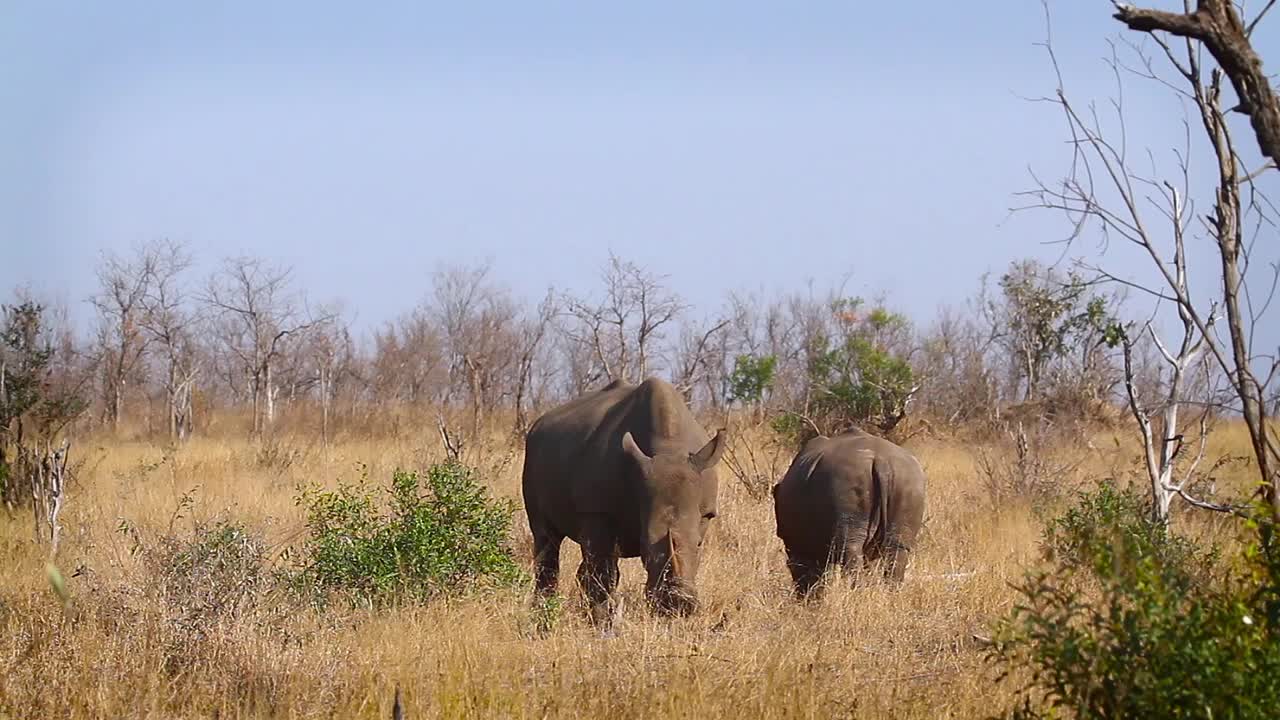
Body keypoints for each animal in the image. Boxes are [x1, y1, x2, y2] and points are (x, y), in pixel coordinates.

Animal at [517, 376, 721, 617]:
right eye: (644, 545)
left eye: (699, 544)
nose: (677, 605)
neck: (668, 448)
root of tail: (538, 423)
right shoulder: (597, 511)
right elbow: (603, 574)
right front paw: (602, 620)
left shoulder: (704, 513)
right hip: (532, 456)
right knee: (547, 539)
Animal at [762, 427, 926, 591]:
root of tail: (882, 463)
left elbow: (809, 569)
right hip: (909, 482)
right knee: (898, 548)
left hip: (845, 482)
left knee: (850, 548)